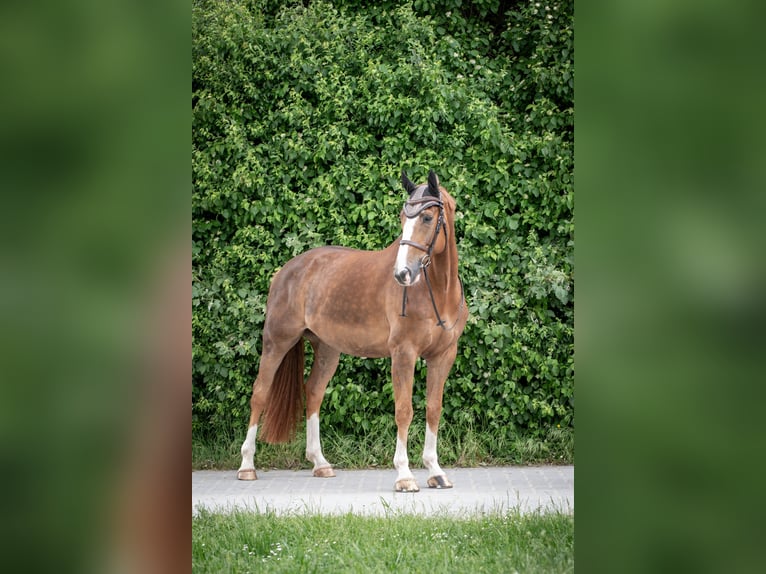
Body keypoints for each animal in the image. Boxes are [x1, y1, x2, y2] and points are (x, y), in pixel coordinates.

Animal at [238, 169, 468, 492]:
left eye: (426, 217)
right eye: (402, 217)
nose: (402, 274)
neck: (435, 290)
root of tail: (286, 271)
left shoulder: (443, 356)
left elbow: (433, 409)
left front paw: (435, 471)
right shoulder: (403, 353)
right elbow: (404, 410)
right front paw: (404, 475)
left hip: (327, 349)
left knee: (314, 392)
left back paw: (320, 463)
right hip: (276, 342)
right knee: (260, 393)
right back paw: (247, 465)